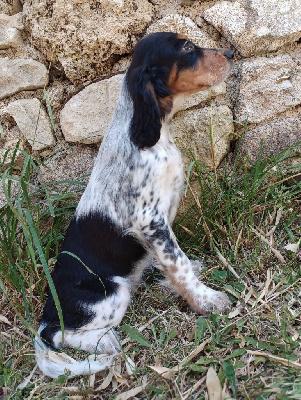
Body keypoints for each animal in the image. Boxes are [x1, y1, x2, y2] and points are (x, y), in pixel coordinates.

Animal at [34, 32, 232, 378]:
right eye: (186, 47)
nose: (232, 53)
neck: (152, 135)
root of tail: (46, 316)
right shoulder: (149, 219)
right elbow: (177, 262)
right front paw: (207, 300)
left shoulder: (166, 209)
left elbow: (171, 262)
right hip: (112, 293)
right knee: (61, 334)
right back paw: (106, 343)